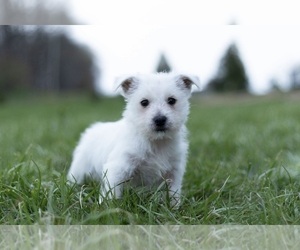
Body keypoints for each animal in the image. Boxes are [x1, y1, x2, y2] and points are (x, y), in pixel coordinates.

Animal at [68, 72, 199, 205]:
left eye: (172, 100)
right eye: (144, 102)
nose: (160, 120)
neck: (156, 142)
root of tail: (92, 129)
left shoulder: (173, 172)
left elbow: (173, 194)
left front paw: (174, 207)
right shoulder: (118, 169)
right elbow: (112, 193)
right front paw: (109, 206)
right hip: (80, 168)